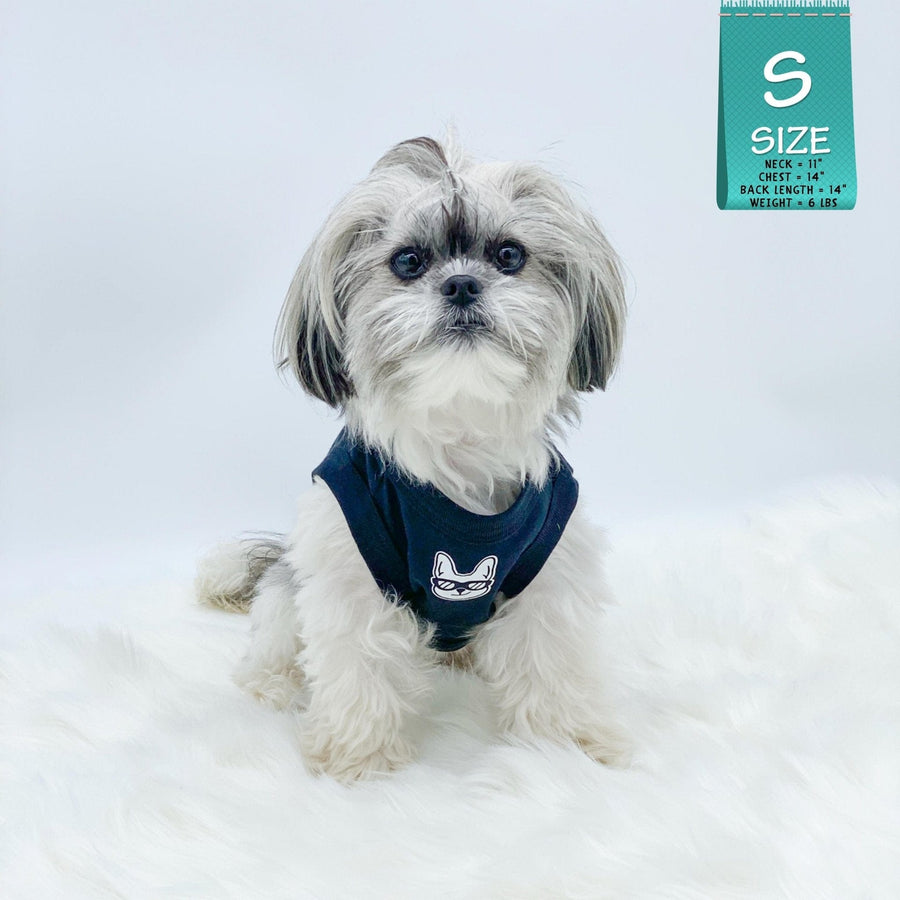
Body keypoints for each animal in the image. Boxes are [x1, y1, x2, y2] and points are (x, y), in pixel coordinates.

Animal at [196, 136, 628, 781]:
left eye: (509, 255)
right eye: (408, 262)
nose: (461, 284)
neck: (459, 429)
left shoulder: (551, 571)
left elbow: (550, 661)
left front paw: (564, 749)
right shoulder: (348, 568)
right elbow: (358, 671)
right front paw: (359, 760)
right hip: (290, 585)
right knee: (276, 634)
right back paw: (273, 684)